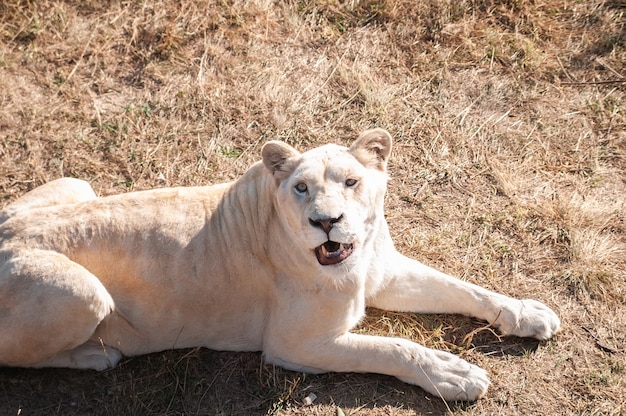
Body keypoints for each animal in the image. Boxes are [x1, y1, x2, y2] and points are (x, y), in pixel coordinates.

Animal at [0, 129, 556, 400]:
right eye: (302, 188)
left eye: (351, 182)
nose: (326, 221)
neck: (353, 259)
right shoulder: (294, 344)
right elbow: (393, 347)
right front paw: (450, 372)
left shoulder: (386, 274)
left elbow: (465, 288)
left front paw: (528, 312)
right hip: (84, 292)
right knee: (17, 358)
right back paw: (94, 356)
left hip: (76, 185)